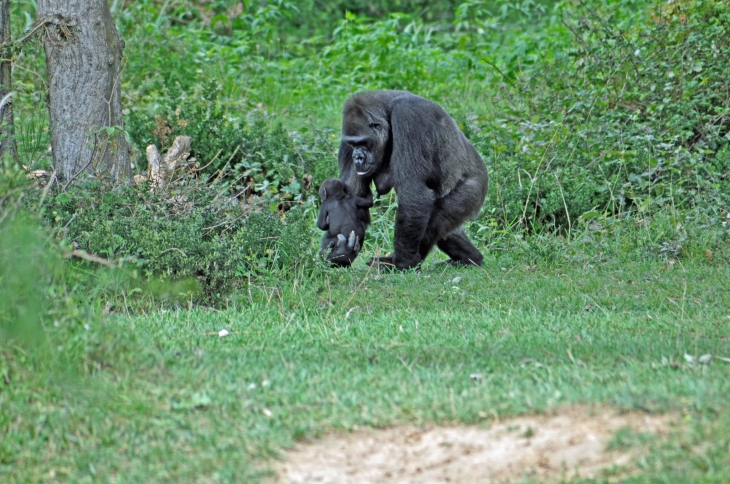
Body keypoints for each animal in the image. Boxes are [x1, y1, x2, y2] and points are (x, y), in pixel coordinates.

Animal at [332, 90, 490, 270]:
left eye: (363, 142)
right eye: (353, 144)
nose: (357, 157)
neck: (387, 113)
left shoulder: (408, 117)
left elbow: (413, 195)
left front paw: (402, 263)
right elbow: (350, 199)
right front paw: (342, 252)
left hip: (474, 188)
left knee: (439, 218)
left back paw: (406, 261)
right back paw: (470, 258)